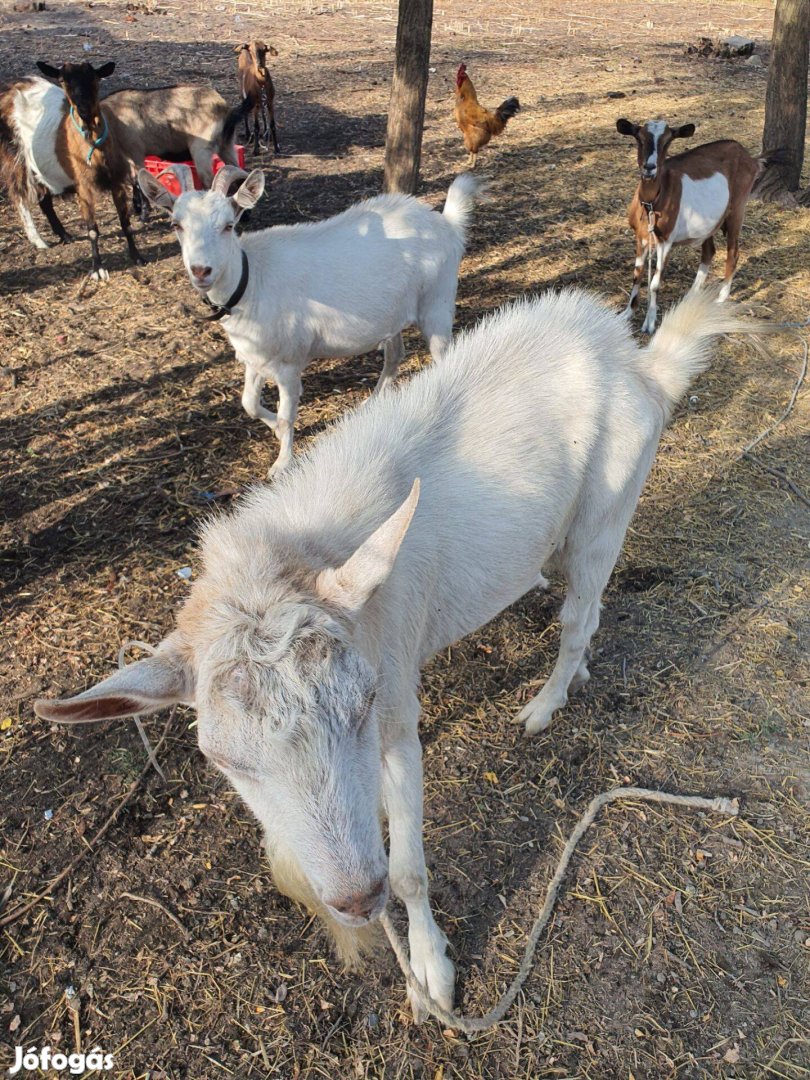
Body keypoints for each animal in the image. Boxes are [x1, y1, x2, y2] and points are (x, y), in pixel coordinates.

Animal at [0, 60, 144, 280]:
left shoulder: (116, 181)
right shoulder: (83, 187)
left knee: (44, 200)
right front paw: (97, 268)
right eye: (62, 80)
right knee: (20, 196)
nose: (84, 109)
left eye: (95, 78)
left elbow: (125, 222)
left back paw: (64, 235)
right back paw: (39, 241)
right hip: (15, 155)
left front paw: (137, 257)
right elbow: (92, 229)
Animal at [33, 285, 756, 1019]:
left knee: (582, 613)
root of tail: (639, 362)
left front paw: (432, 974)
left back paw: (546, 704)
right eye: (221, 759)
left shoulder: (397, 711)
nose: (356, 899)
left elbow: (409, 868)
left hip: (606, 512)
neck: (301, 550)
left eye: (365, 703)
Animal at [138, 163, 481, 473]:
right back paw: (372, 403)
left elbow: (287, 413)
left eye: (228, 225)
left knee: (444, 354)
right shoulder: (254, 357)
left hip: (436, 304)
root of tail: (446, 223)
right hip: (393, 315)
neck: (252, 280)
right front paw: (274, 429)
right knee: (395, 354)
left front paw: (281, 463)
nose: (201, 270)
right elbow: (248, 403)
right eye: (176, 224)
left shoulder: (289, 363)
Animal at [617, 118, 781, 332]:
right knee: (709, 251)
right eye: (639, 137)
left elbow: (654, 283)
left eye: (667, 141)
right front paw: (626, 314)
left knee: (733, 253)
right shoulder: (640, 237)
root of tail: (751, 158)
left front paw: (650, 323)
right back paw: (691, 297)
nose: (649, 167)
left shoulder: (666, 241)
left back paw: (721, 298)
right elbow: (636, 275)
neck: (652, 203)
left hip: (737, 209)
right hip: (710, 224)